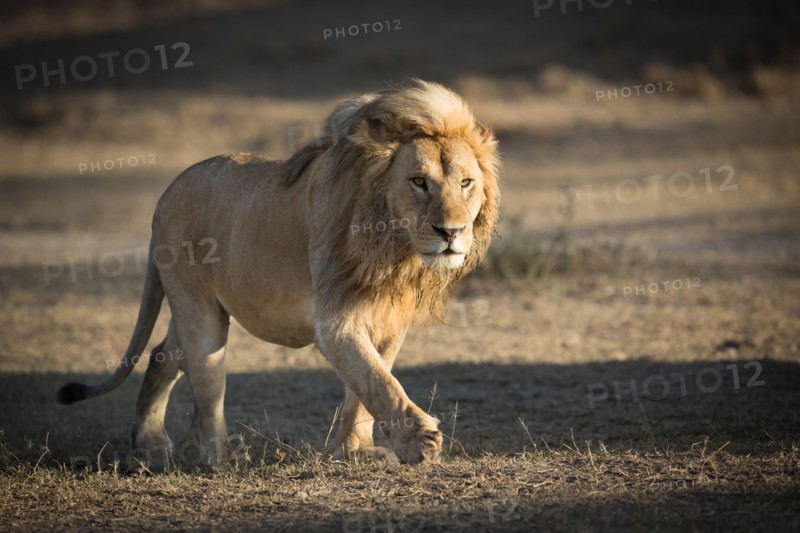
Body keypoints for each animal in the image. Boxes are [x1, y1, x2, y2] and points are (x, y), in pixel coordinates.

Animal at [57, 79, 501, 466]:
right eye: (418, 182)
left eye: (466, 183)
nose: (451, 232)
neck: (395, 249)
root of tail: (165, 196)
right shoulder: (335, 322)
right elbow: (378, 381)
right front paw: (418, 441)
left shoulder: (390, 322)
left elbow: (364, 388)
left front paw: (353, 449)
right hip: (200, 312)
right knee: (204, 387)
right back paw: (221, 457)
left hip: (193, 311)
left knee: (162, 355)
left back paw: (149, 444)